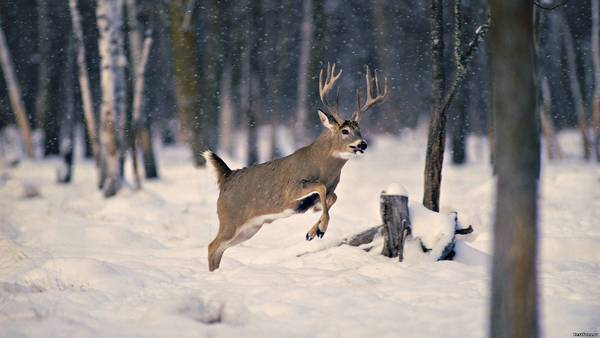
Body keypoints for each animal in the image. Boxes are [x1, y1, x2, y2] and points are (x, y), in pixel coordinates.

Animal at [204, 62, 386, 270]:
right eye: (345, 131)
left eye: (359, 129)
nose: (363, 144)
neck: (323, 166)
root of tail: (227, 176)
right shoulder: (291, 191)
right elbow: (321, 188)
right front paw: (321, 229)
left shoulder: (331, 189)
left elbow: (332, 197)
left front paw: (313, 232)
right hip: (229, 219)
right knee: (212, 246)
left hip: (249, 229)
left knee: (219, 249)